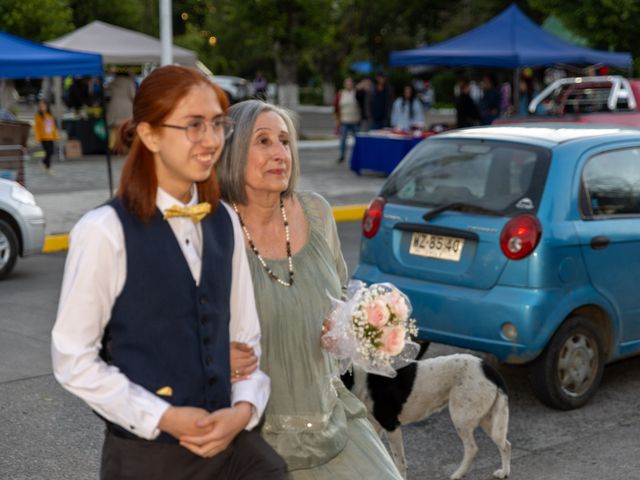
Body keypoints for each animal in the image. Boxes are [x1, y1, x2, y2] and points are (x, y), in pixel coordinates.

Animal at [342, 344, 512, 478]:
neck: (358, 378)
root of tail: (489, 370)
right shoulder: (377, 427)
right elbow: (378, 450)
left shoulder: (392, 427)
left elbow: (399, 461)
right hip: (488, 419)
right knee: (505, 444)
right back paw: (504, 472)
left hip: (461, 418)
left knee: (472, 449)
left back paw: (458, 474)